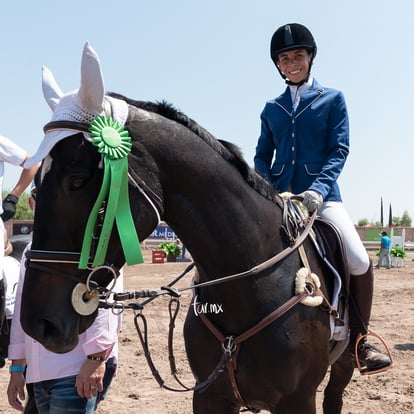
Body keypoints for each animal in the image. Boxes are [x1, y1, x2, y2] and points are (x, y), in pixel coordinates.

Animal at [21, 42, 354, 414]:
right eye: (35, 185)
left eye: (76, 181)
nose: (38, 325)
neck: (252, 284)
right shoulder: (209, 395)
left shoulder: (297, 399)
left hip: (343, 365)